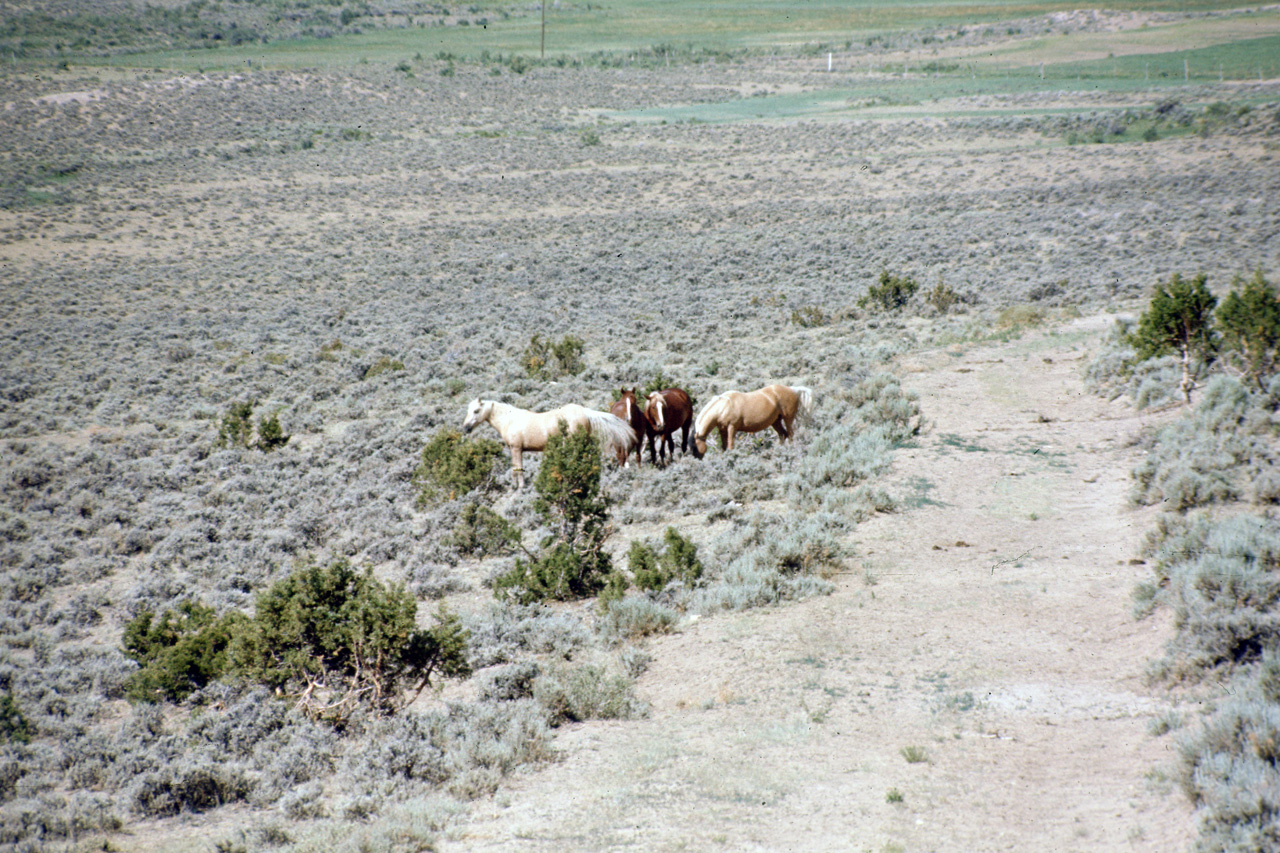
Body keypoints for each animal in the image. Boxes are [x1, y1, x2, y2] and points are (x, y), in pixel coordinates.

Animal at [465, 397, 634, 489]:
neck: (510, 420)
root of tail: (585, 412)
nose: (466, 428)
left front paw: (519, 487)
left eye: (476, 411)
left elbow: (517, 469)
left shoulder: (516, 449)